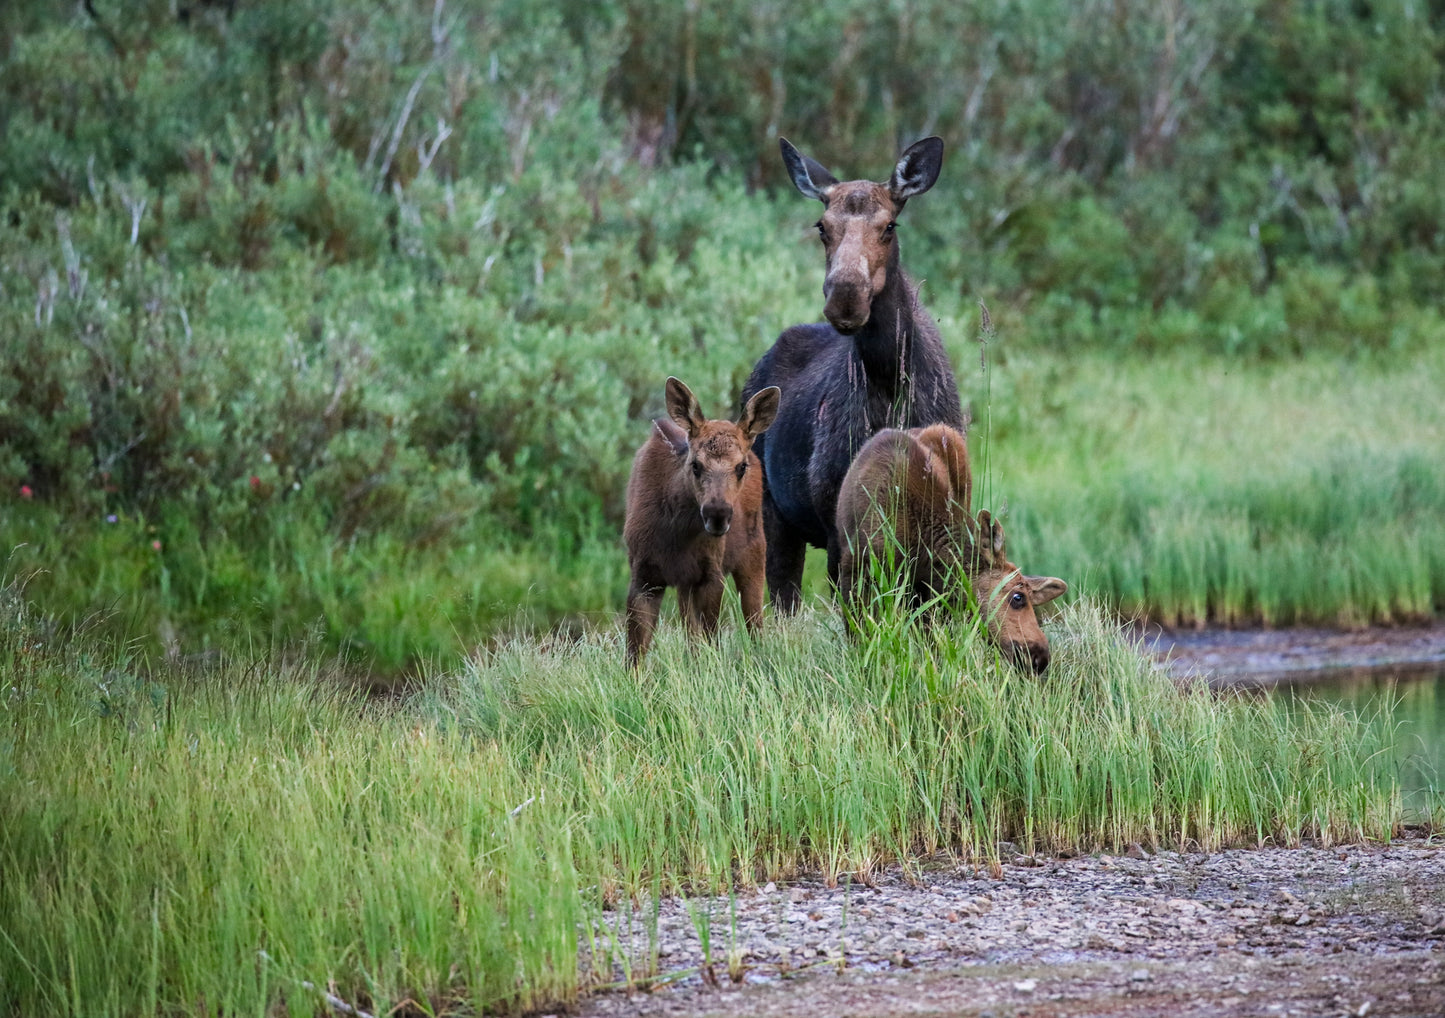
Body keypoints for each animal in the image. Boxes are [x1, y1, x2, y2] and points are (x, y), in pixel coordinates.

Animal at [621, 378, 780, 665]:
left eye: (740, 467)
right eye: (695, 465)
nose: (717, 515)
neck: (675, 537)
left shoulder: (711, 572)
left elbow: (711, 640)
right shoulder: (643, 574)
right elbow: (635, 653)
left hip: (755, 550)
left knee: (754, 621)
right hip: (687, 583)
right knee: (691, 633)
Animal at [739, 135, 965, 613]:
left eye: (890, 226)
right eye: (822, 226)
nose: (846, 297)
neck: (889, 385)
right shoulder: (836, 518)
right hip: (773, 510)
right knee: (781, 597)